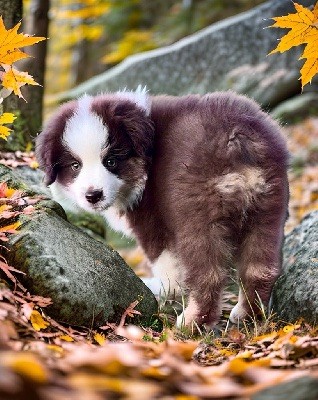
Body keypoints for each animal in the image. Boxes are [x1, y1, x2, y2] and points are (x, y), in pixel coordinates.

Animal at [36, 90, 290, 328]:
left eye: (111, 161)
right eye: (75, 165)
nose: (93, 195)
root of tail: (236, 136)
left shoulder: (152, 223)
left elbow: (167, 267)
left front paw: (162, 289)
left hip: (196, 215)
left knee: (208, 275)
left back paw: (190, 323)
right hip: (268, 208)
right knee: (260, 269)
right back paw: (247, 315)